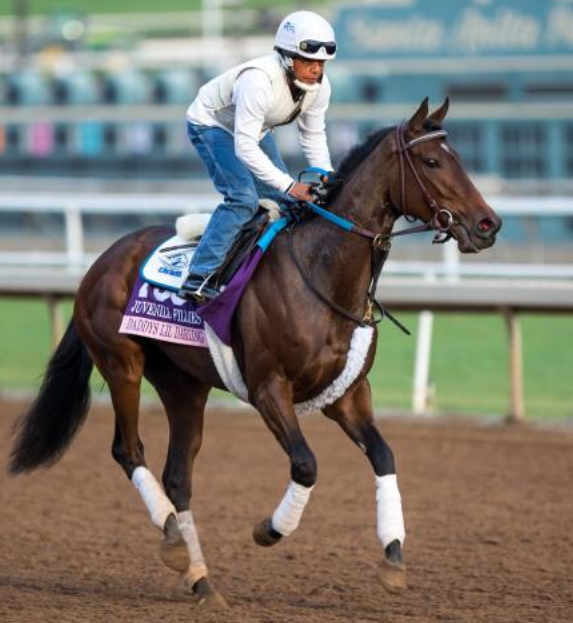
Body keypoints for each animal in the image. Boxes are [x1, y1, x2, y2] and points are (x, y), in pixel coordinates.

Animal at [8, 98, 500, 608]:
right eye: (432, 161)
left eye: (457, 157)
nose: (489, 224)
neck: (322, 272)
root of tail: (100, 262)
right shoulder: (268, 388)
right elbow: (306, 464)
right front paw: (270, 530)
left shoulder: (348, 393)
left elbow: (384, 456)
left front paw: (393, 558)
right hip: (122, 362)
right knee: (129, 450)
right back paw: (172, 541)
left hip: (184, 385)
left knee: (178, 475)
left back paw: (201, 580)